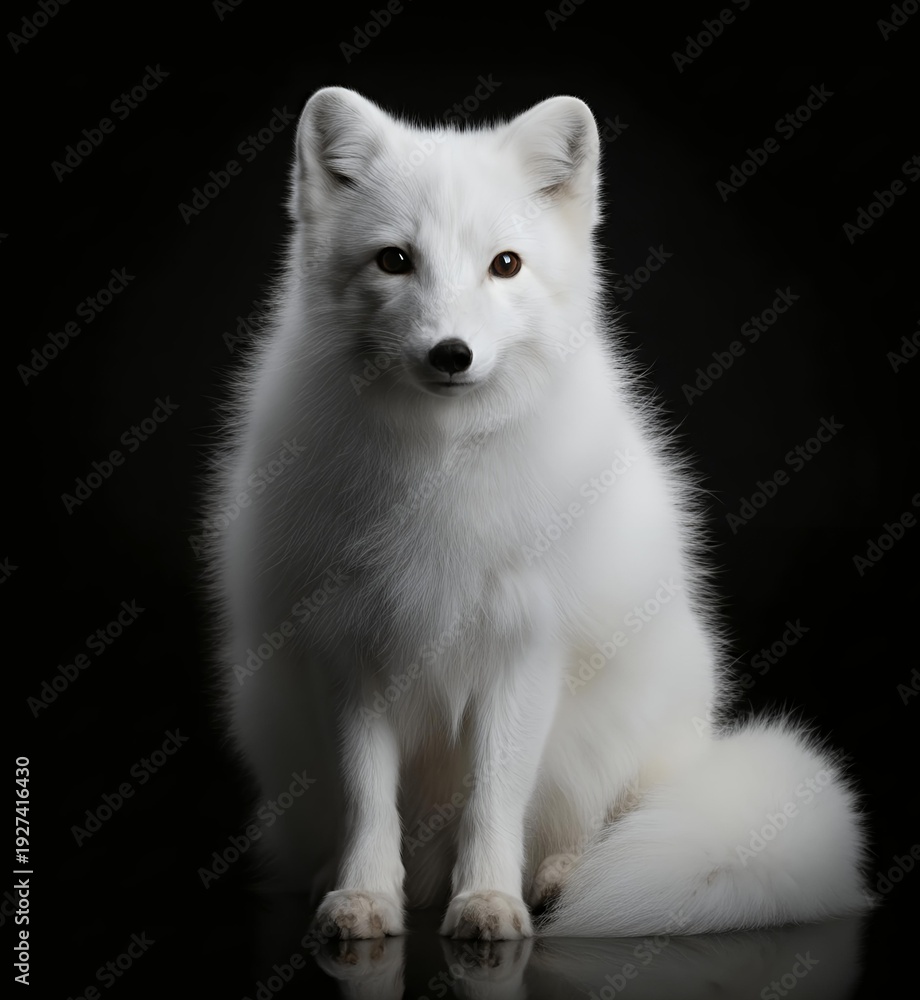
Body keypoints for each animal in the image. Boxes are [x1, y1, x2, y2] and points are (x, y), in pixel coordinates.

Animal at [210, 86, 870, 939]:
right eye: (394, 260)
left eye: (505, 265)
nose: (451, 354)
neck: (440, 465)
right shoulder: (349, 651)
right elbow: (368, 801)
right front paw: (363, 896)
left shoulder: (523, 650)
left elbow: (494, 797)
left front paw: (489, 902)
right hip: (271, 715)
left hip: (633, 715)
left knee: (602, 820)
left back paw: (563, 878)